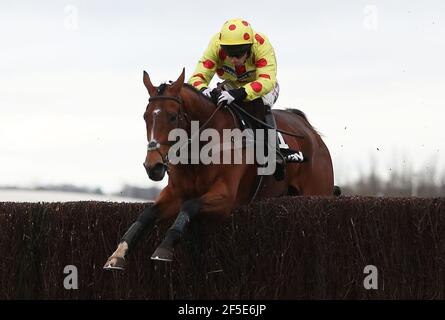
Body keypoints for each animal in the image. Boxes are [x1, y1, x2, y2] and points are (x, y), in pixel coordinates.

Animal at [103, 68, 332, 270]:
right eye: (145, 116)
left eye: (172, 116)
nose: (153, 166)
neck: (201, 149)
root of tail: (309, 130)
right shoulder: (175, 192)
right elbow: (147, 214)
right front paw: (117, 254)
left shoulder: (226, 197)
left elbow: (190, 206)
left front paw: (164, 248)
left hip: (316, 193)